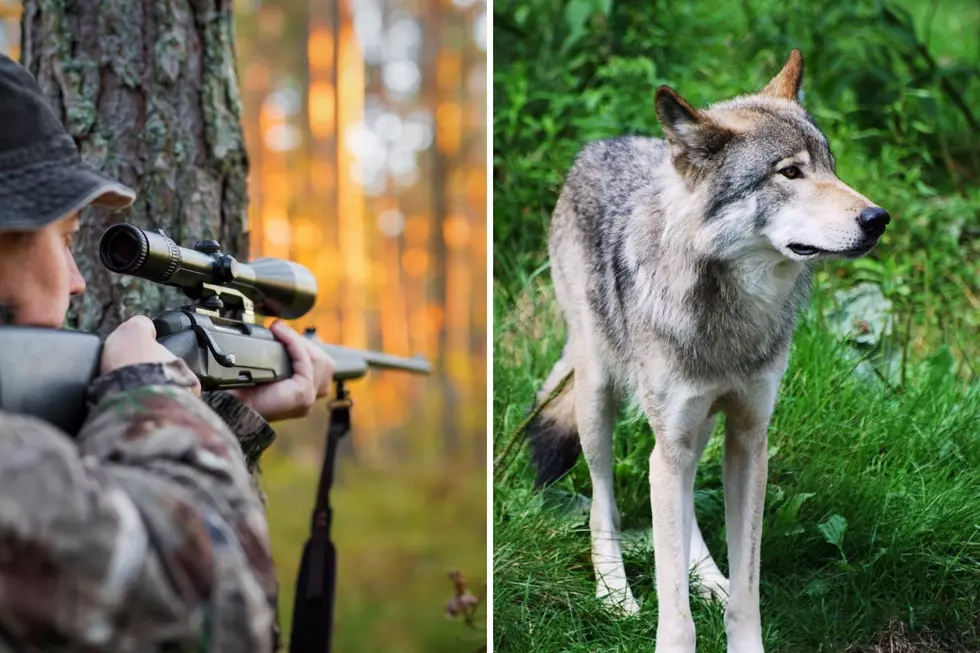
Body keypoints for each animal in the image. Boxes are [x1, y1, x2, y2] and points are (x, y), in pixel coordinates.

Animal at [528, 51, 888, 652]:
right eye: (790, 173)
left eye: (831, 167)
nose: (877, 219)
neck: (734, 323)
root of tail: (604, 144)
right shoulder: (671, 439)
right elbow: (674, 608)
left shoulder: (748, 437)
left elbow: (746, 590)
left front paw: (730, 607)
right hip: (599, 398)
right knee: (604, 501)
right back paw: (614, 592)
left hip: (689, 430)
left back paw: (707, 576)